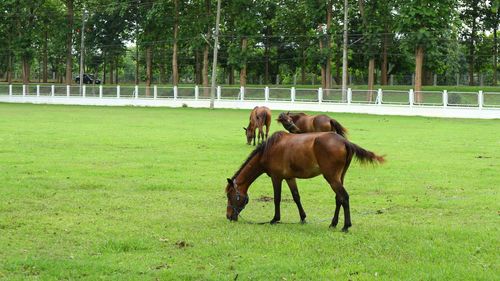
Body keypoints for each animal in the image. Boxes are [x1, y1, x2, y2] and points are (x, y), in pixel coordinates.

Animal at [225, 130, 384, 231]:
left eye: (230, 195)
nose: (228, 216)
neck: (269, 150)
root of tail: (345, 142)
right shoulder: (290, 178)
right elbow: (296, 197)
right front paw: (302, 218)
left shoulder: (277, 178)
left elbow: (277, 199)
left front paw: (275, 219)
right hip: (339, 177)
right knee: (339, 198)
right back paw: (333, 223)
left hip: (332, 178)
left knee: (344, 197)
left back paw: (345, 226)